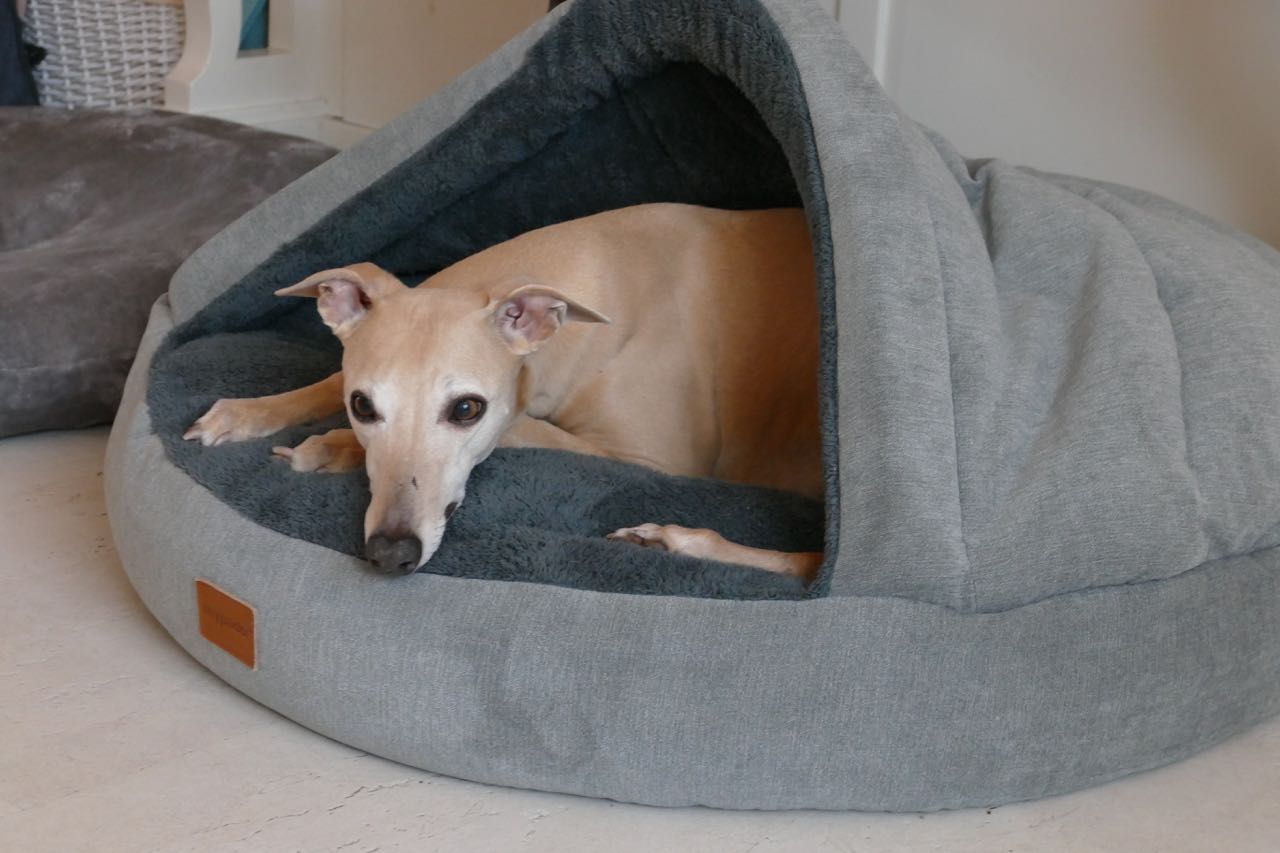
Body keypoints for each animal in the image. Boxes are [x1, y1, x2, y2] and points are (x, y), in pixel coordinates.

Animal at [184, 203, 823, 581]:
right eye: (364, 406)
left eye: (467, 409)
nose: (391, 554)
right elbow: (328, 380)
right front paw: (245, 413)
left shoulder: (654, 460)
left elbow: (523, 428)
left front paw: (330, 447)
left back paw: (676, 541)